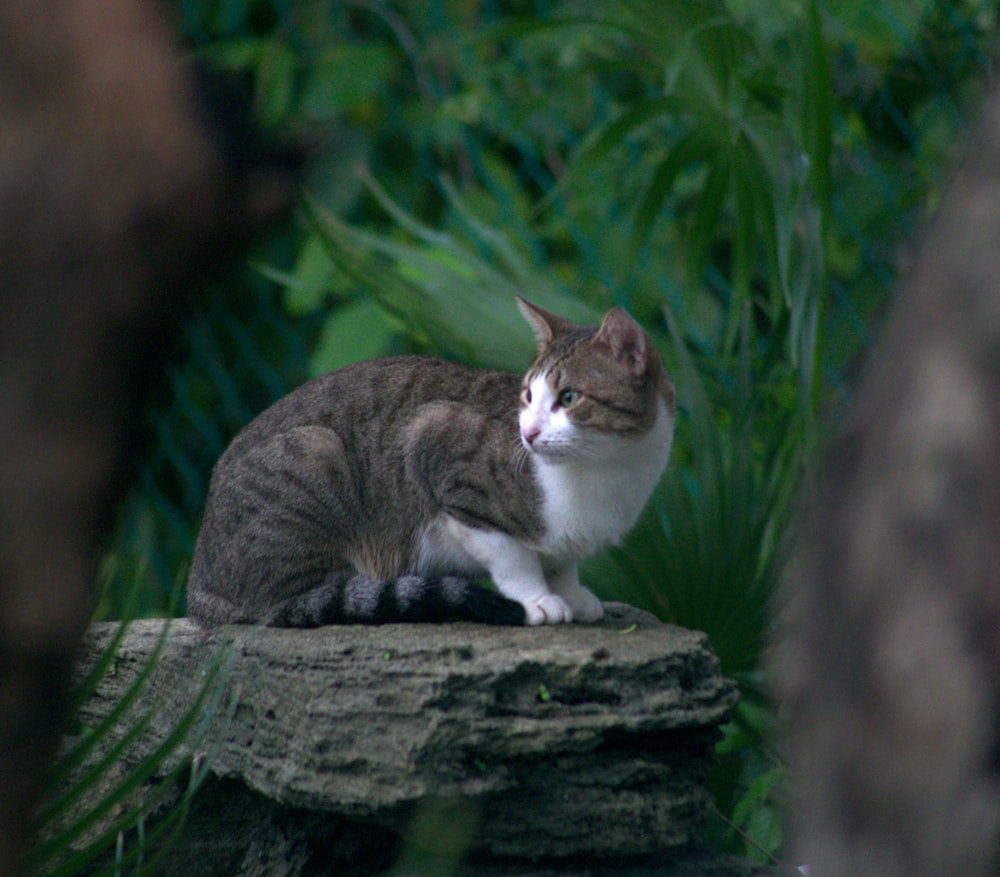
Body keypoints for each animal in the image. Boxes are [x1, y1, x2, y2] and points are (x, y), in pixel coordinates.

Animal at [186, 298, 680, 628]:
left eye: (570, 398)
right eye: (527, 395)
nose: (527, 433)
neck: (607, 471)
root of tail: (199, 579)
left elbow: (562, 562)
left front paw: (572, 593)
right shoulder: (435, 442)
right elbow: (513, 556)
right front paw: (537, 600)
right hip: (314, 453)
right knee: (284, 605)